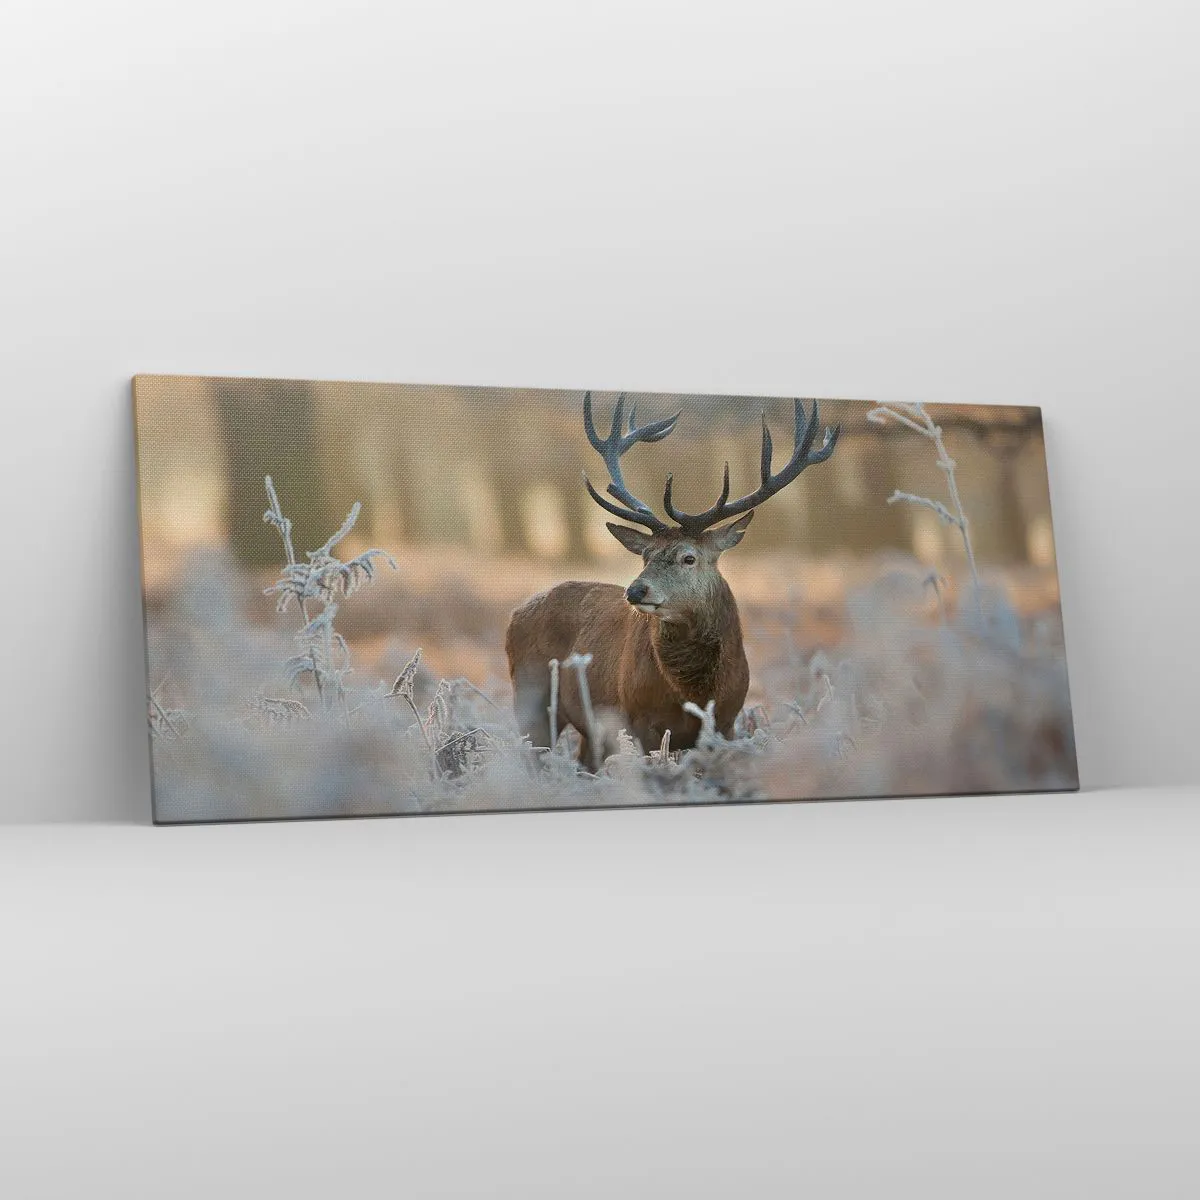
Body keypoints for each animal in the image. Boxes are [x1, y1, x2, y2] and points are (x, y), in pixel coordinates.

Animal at [505, 391, 841, 770]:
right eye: (645, 555)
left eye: (688, 557)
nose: (635, 590)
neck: (695, 693)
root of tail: (515, 613)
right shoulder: (639, 720)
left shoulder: (727, 721)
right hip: (531, 697)